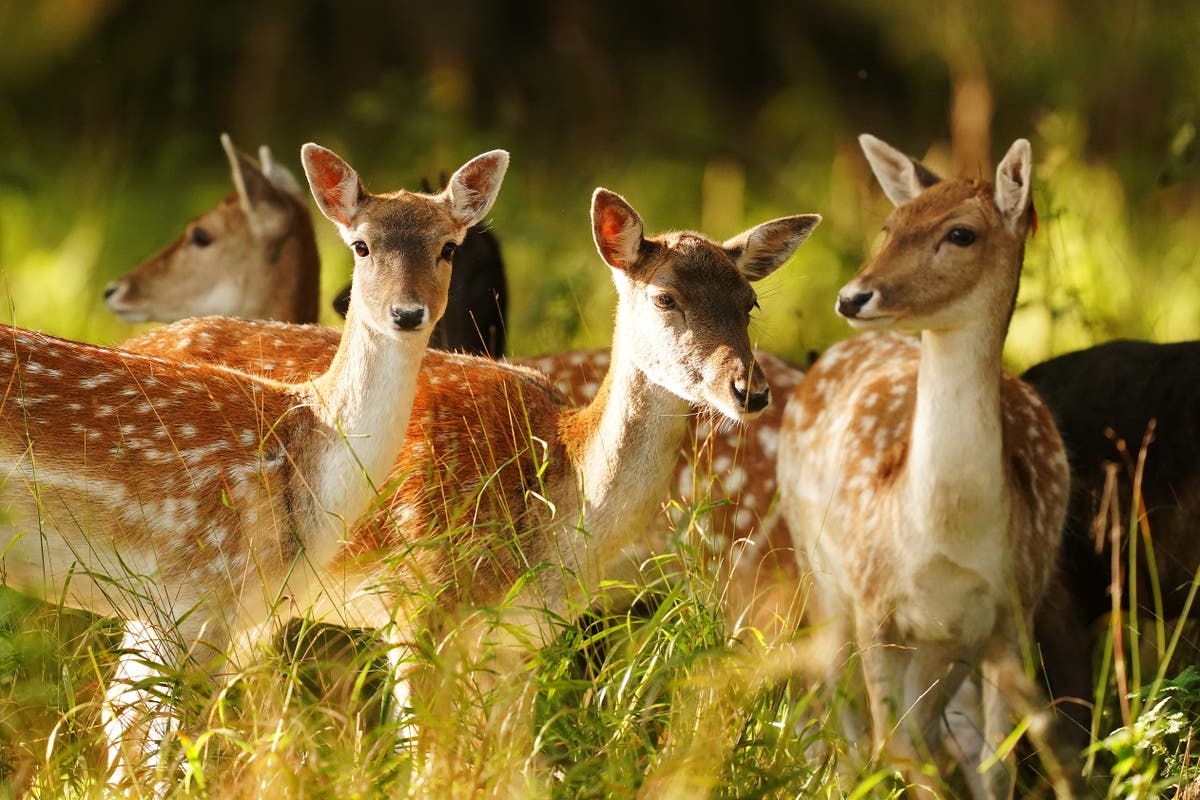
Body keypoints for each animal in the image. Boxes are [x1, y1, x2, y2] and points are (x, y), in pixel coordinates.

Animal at [119, 188, 816, 782]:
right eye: (666, 298)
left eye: (749, 303)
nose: (748, 391)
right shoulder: (417, 602)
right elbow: (431, 766)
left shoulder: (528, 637)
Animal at [777, 136, 1080, 800]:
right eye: (889, 227)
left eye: (960, 233)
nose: (852, 296)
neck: (946, 533)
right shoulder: (875, 601)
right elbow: (895, 749)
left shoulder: (1011, 611)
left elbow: (994, 766)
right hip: (819, 573)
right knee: (846, 721)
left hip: (946, 644)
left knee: (927, 732)